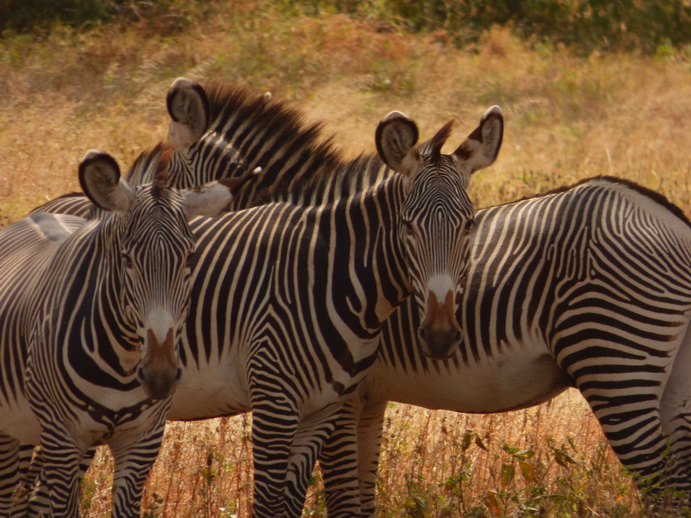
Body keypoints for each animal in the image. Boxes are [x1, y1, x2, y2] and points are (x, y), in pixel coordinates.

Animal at [0, 148, 246, 516]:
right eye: (127, 259)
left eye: (191, 259)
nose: (159, 375)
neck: (123, 360)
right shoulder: (63, 439)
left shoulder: (142, 441)